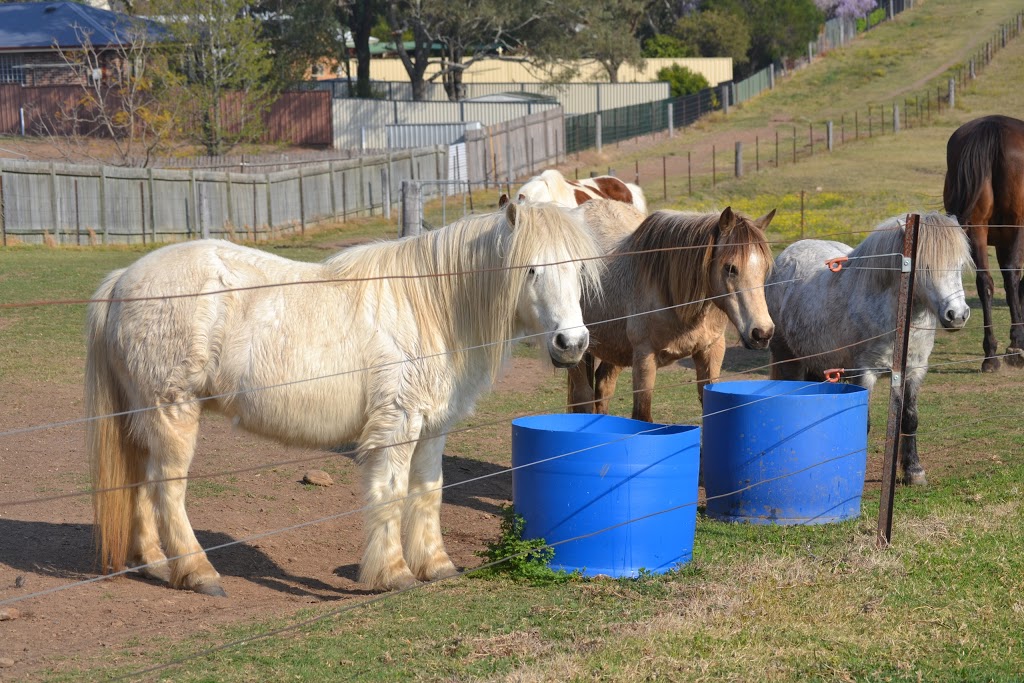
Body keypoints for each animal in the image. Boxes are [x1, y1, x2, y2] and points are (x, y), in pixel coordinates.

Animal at [88, 201, 602, 593]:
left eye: (577, 268)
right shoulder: (396, 424)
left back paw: (155, 564)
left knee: (140, 484)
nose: (572, 343)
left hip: (145, 418)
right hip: (172, 413)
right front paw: (393, 573)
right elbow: (391, 493)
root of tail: (124, 279)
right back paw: (198, 573)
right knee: (167, 490)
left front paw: (436, 565)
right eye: (531, 269)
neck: (432, 306)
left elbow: (428, 491)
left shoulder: (433, 426)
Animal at [770, 214, 966, 485]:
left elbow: (910, 418)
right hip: (787, 357)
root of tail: (787, 254)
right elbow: (865, 423)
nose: (957, 315)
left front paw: (914, 471)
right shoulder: (864, 373)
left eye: (959, 265)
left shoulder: (915, 371)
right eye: (925, 267)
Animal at [942, 117, 1024, 374]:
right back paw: (1015, 347)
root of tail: (993, 126)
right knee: (1011, 276)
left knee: (985, 282)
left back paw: (991, 355)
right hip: (1016, 224)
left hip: (975, 229)